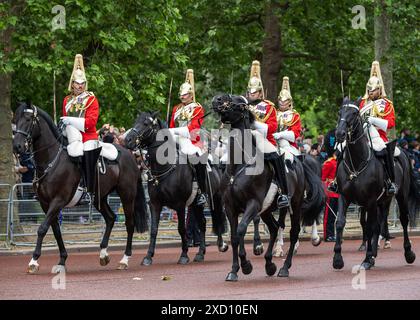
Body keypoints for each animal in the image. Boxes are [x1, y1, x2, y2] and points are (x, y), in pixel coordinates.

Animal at [13, 104, 148, 274]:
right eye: (15, 120)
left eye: (29, 119)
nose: (17, 146)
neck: (51, 160)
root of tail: (130, 155)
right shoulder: (45, 204)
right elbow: (56, 231)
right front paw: (62, 261)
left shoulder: (58, 201)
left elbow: (42, 229)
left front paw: (34, 261)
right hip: (99, 198)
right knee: (110, 218)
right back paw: (103, 254)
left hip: (127, 195)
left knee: (129, 224)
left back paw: (124, 259)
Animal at [124, 111, 228, 266]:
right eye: (135, 121)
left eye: (146, 123)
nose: (127, 139)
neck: (165, 167)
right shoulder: (155, 204)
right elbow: (154, 230)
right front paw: (148, 256)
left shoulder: (180, 205)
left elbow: (181, 229)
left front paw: (184, 255)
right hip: (195, 204)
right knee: (203, 224)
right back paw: (200, 253)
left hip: (216, 198)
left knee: (218, 219)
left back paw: (221, 245)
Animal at [212, 95, 324, 280]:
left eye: (236, 102)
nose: (216, 99)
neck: (239, 165)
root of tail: (301, 161)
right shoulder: (230, 207)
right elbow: (235, 236)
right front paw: (234, 270)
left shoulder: (253, 204)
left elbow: (241, 229)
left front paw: (246, 265)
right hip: (267, 210)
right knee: (273, 228)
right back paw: (270, 264)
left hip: (295, 204)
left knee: (293, 232)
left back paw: (284, 268)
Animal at [334, 97, 416, 270]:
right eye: (340, 112)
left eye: (355, 113)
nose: (339, 134)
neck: (356, 164)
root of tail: (404, 152)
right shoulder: (344, 197)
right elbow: (340, 222)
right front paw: (337, 259)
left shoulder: (370, 201)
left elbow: (370, 227)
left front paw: (366, 259)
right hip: (382, 201)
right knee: (379, 223)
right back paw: (374, 255)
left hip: (401, 196)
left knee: (403, 220)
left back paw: (408, 253)